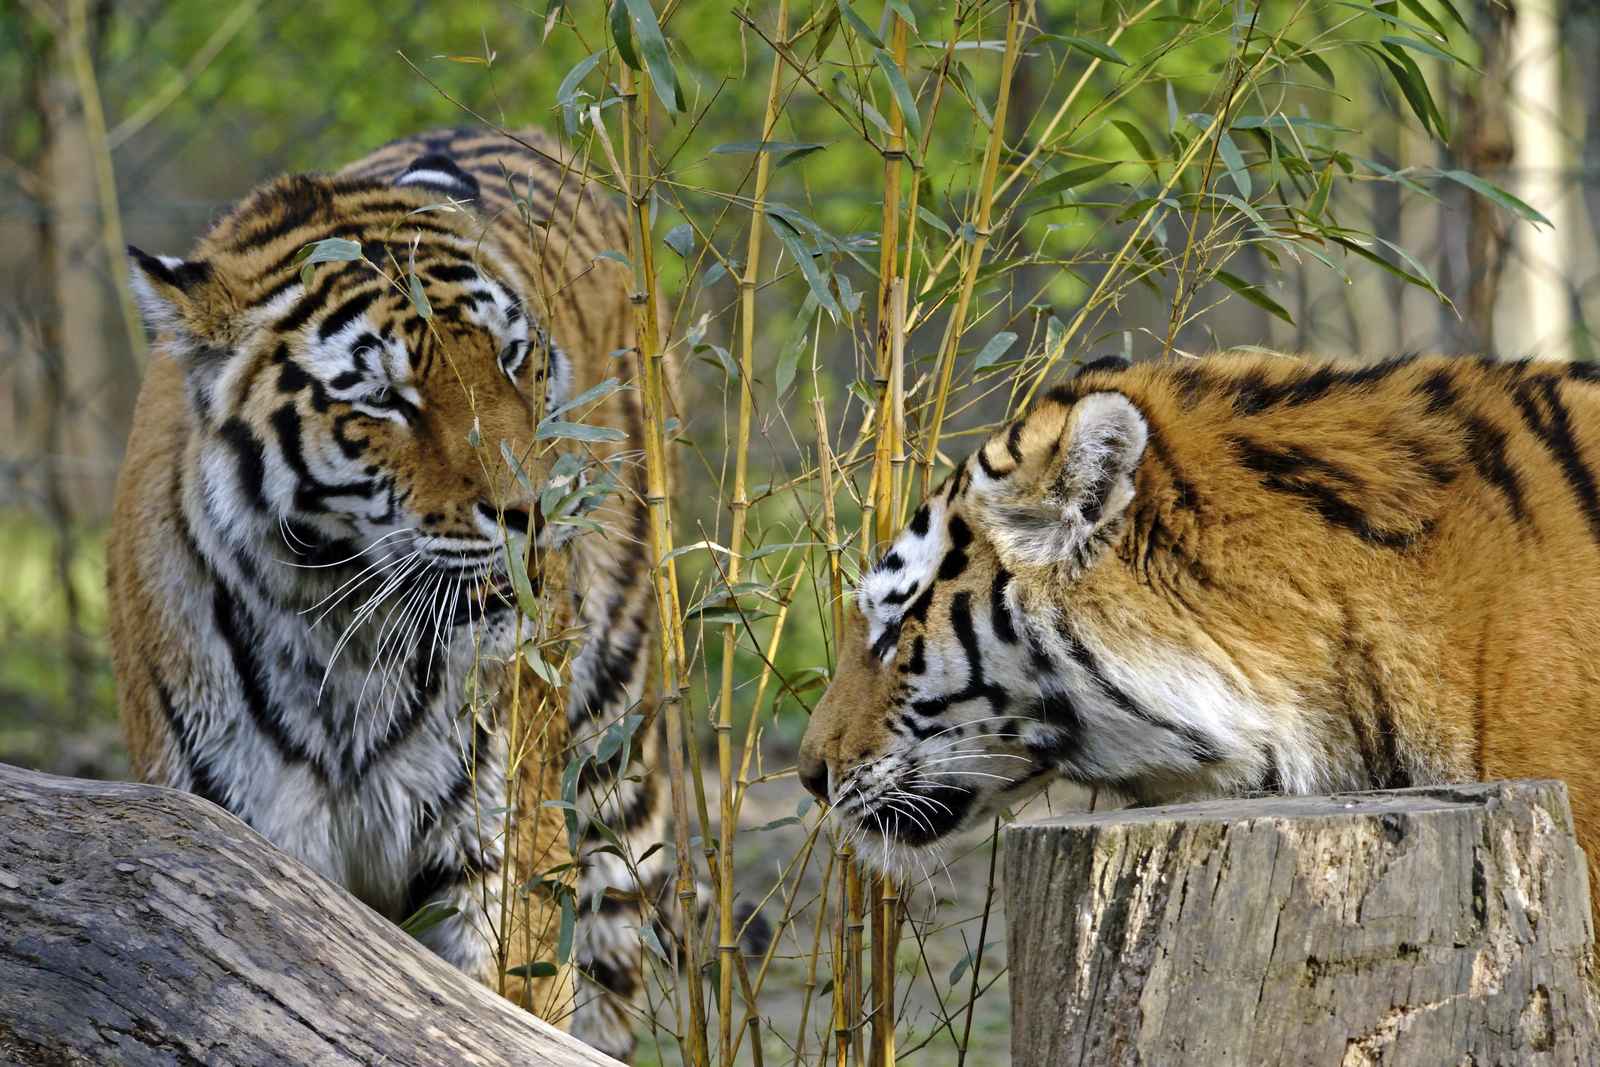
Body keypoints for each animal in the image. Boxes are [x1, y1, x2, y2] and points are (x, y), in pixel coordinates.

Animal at [109, 126, 673, 1060]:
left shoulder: (501, 855)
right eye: (384, 397)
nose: (533, 512)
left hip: (612, 757)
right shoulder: (237, 846)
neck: (338, 625)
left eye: (510, 356)